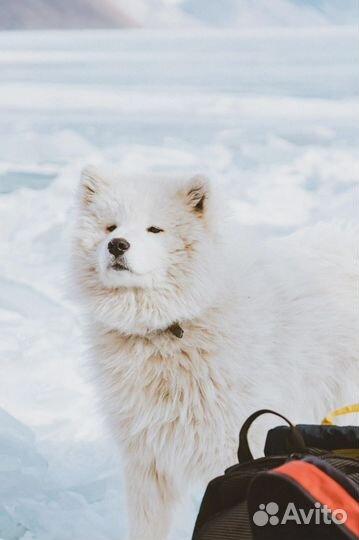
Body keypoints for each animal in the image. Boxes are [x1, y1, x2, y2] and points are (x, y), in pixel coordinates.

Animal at [72, 166, 358, 540]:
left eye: (155, 229)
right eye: (111, 227)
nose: (117, 245)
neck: (172, 327)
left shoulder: (236, 445)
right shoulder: (148, 461)